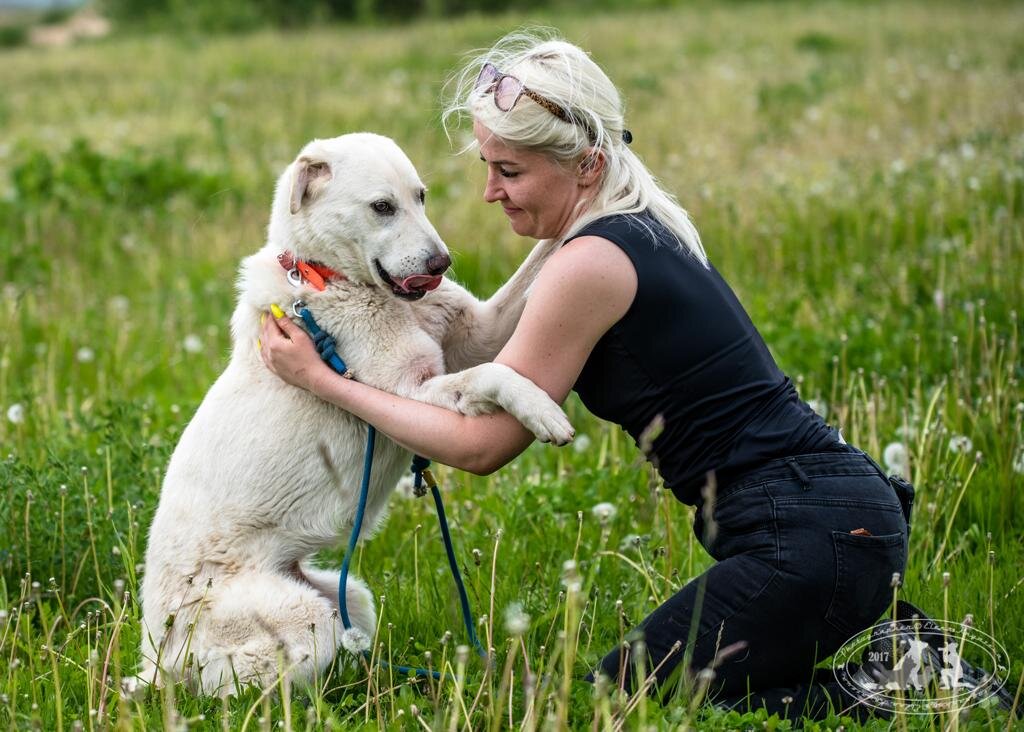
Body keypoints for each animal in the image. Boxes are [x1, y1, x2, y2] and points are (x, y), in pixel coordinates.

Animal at [140, 133, 577, 700]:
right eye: (382, 207)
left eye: (421, 197)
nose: (442, 263)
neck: (331, 279)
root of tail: (156, 654)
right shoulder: (410, 391)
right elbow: (490, 375)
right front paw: (542, 410)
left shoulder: (481, 328)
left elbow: (541, 258)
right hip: (302, 621)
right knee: (234, 690)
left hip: (350, 599)